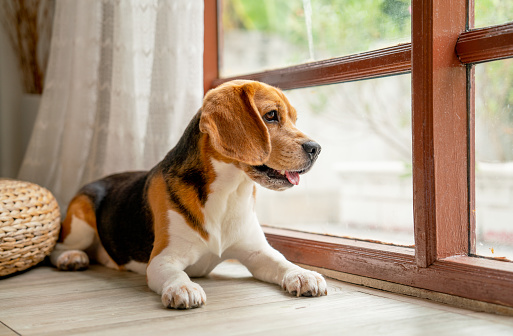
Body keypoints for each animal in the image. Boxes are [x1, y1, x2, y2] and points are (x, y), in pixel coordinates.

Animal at [50, 80, 326, 308]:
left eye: (294, 119)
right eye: (271, 116)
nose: (316, 148)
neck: (228, 193)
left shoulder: (257, 253)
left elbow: (282, 261)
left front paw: (303, 274)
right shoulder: (162, 259)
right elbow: (176, 273)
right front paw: (183, 288)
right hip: (81, 223)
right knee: (60, 245)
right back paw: (71, 257)